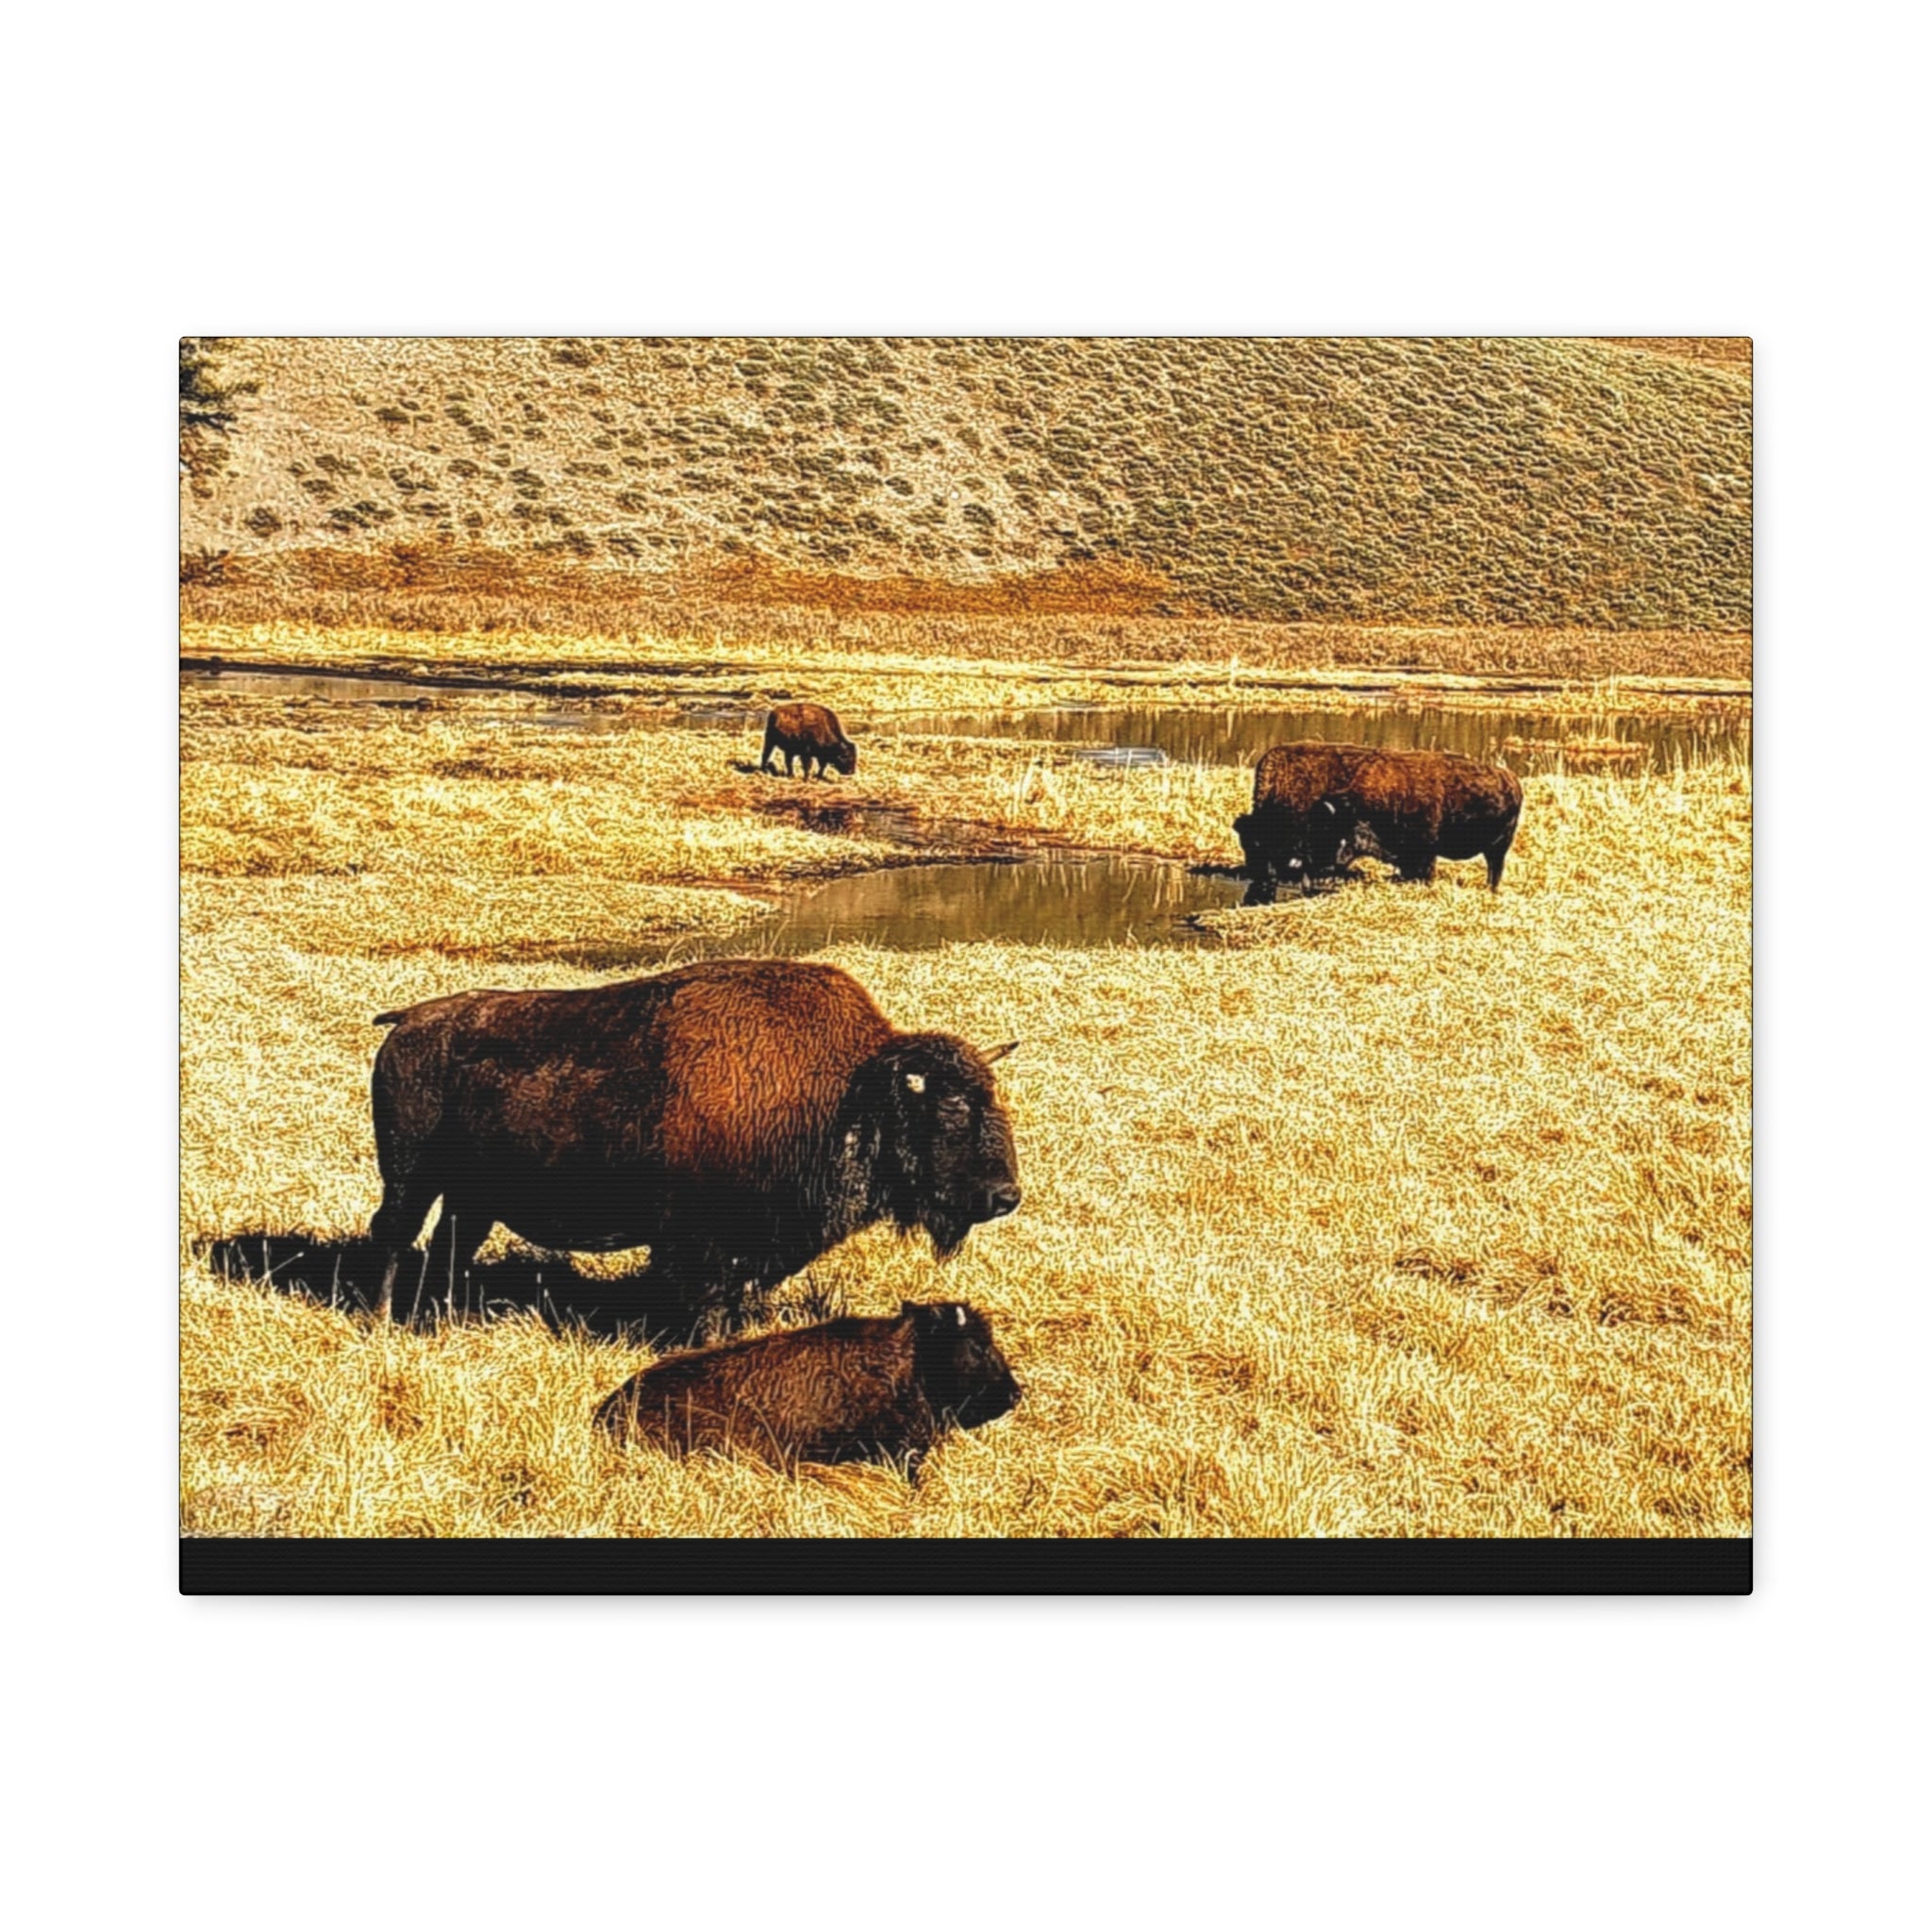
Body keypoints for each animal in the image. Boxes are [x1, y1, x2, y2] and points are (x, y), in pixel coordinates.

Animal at [367, 960, 1021, 1337]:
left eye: (996, 1103)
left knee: (450, 1245)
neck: (847, 1092)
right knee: (394, 1235)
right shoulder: (699, 1241)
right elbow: (707, 1301)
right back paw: (383, 1320)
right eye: (951, 1110)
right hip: (408, 1177)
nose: (1005, 1196)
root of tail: (409, 1020)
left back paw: (444, 1316)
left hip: (471, 1196)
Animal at [1235, 741, 1524, 899]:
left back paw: (1490, 890)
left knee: (1495, 868)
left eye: (1262, 844)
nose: (1258, 876)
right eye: (1245, 844)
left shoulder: (1424, 852)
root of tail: (1511, 779)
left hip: (1498, 847)